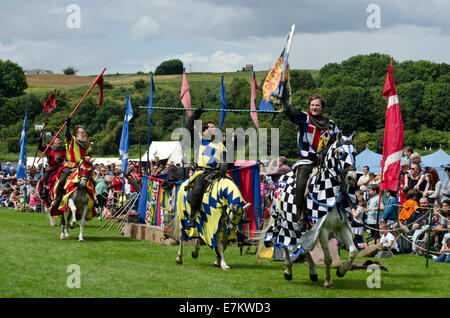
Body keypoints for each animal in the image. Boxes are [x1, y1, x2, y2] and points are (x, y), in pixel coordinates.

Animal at [262, 132, 356, 288]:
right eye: (340, 153)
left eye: (354, 153)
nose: (351, 177)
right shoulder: (322, 229)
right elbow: (328, 258)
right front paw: (328, 281)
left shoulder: (341, 226)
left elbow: (353, 251)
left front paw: (341, 271)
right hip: (285, 223)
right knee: (285, 243)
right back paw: (288, 271)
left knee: (303, 247)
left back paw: (312, 272)